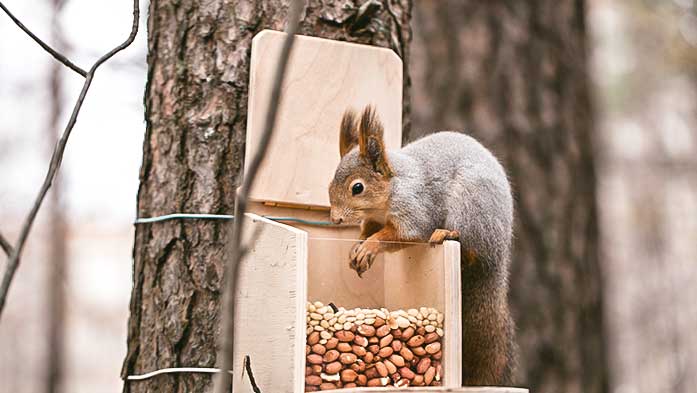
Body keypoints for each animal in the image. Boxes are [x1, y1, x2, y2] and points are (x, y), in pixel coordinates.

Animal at [328, 105, 516, 384]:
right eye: (329, 184)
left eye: (357, 188)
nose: (335, 219)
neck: (391, 190)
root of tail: (498, 253)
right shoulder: (374, 219)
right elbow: (369, 230)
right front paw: (357, 248)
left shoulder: (415, 210)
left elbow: (400, 234)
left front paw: (369, 247)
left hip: (471, 207)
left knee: (469, 245)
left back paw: (446, 233)